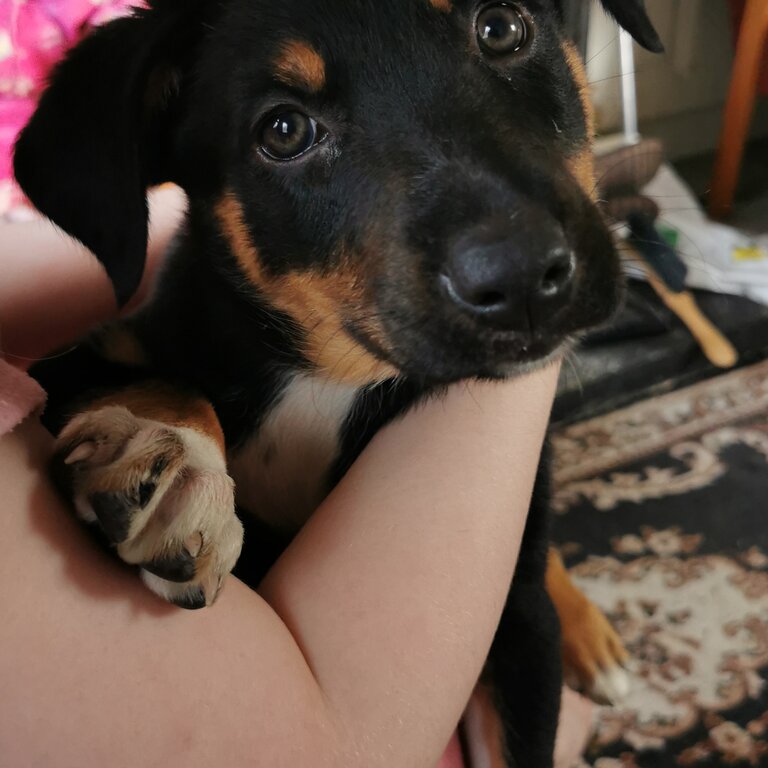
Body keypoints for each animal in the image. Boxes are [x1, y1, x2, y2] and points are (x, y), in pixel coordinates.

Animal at [13, 3, 660, 764]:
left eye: (501, 28)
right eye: (284, 130)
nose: (525, 277)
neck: (333, 374)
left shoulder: (521, 626)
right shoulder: (83, 352)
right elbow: (162, 381)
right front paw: (171, 457)